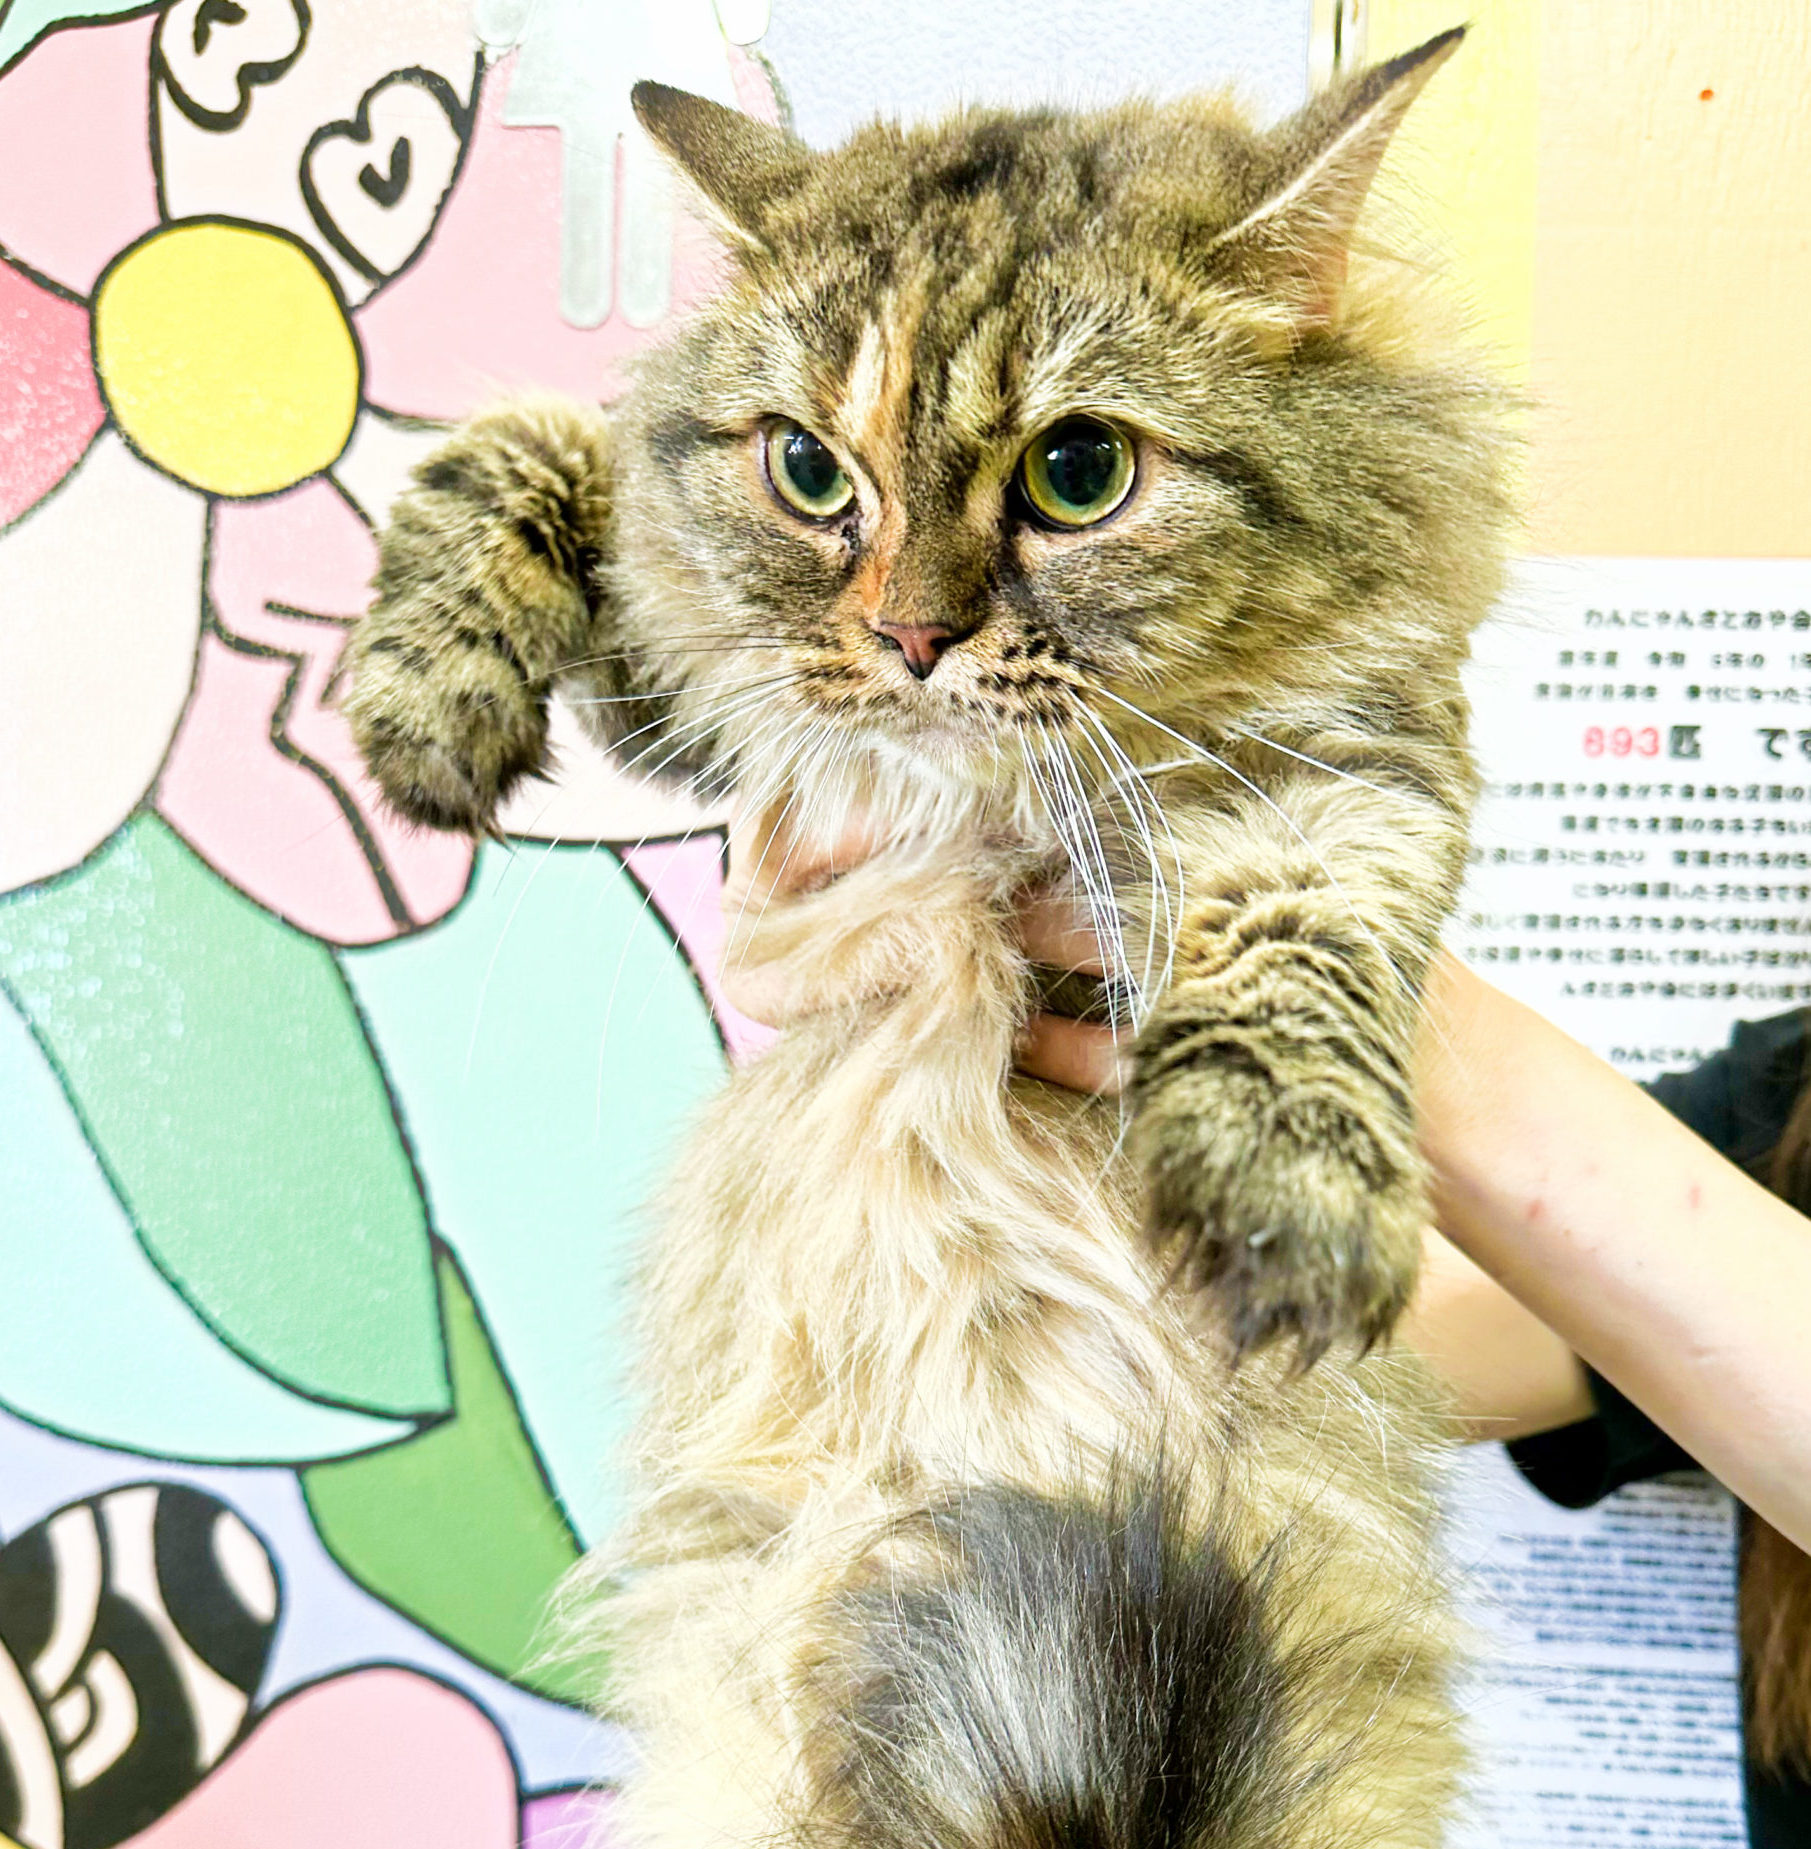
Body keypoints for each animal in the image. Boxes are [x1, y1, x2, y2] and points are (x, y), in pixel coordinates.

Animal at [342, 29, 1509, 1849]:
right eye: (809, 472)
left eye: (1077, 473)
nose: (906, 637)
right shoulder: (716, 707)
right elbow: (532, 440)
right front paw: (426, 693)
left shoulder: (1346, 779)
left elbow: (1288, 965)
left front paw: (1278, 1197)